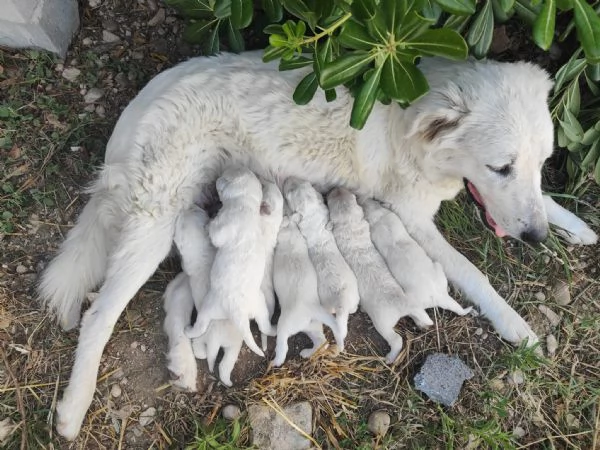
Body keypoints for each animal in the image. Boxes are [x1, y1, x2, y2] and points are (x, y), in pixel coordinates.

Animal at [186, 167, 276, 356]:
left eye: (223, 176)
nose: (216, 178)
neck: (246, 204)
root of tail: (238, 314)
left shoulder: (224, 224)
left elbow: (215, 235)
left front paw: (207, 225)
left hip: (208, 308)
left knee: (200, 325)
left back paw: (189, 330)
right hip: (260, 307)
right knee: (265, 325)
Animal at [272, 211, 342, 366]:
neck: (292, 233)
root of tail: (312, 309)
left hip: (284, 325)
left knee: (283, 347)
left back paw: (275, 362)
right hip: (314, 327)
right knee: (322, 342)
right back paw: (306, 353)